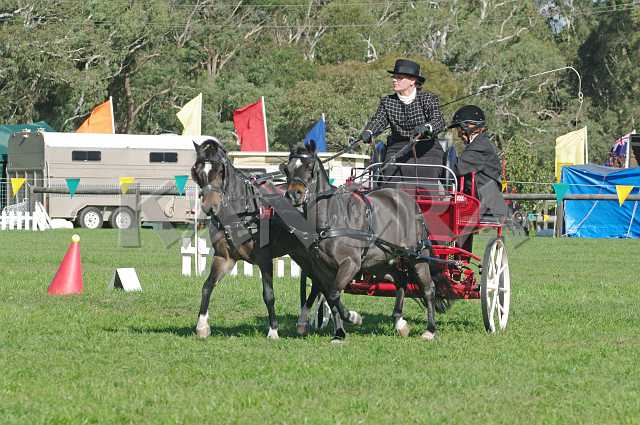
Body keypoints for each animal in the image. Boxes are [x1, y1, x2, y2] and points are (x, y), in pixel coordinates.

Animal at [190, 138, 321, 339]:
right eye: (197, 171)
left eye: (220, 171)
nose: (209, 207)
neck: (244, 212)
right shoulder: (224, 258)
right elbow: (207, 286)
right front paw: (202, 326)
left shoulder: (264, 259)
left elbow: (269, 295)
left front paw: (273, 330)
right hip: (299, 253)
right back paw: (304, 321)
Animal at [282, 140, 437, 341]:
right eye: (287, 169)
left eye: (309, 166)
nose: (294, 194)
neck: (331, 219)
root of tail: (409, 201)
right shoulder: (323, 269)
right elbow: (331, 296)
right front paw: (339, 333)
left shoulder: (351, 264)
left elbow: (334, 294)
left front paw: (353, 318)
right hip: (378, 262)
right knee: (400, 279)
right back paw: (399, 323)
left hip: (416, 256)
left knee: (428, 288)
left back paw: (430, 330)